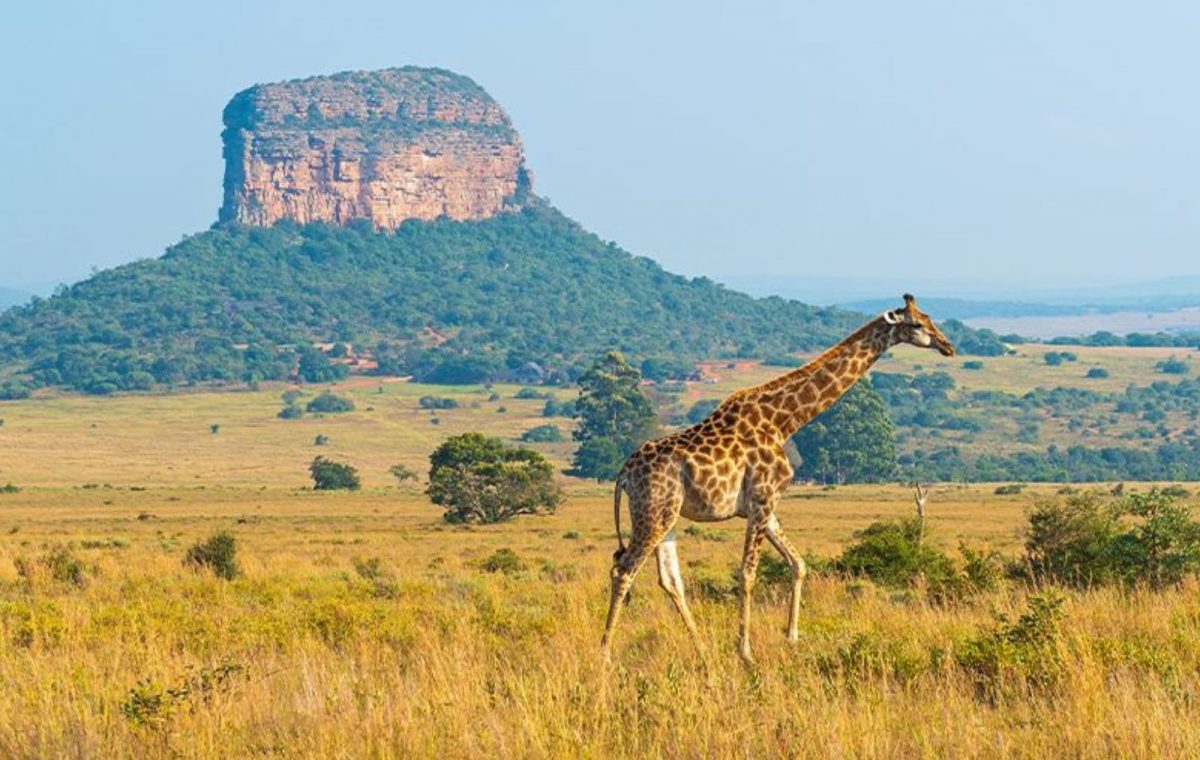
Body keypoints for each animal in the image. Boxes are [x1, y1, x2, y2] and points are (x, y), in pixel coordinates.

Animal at [600, 294, 956, 665]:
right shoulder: (762, 499)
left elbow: (798, 563)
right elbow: (747, 574)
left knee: (670, 580)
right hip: (654, 512)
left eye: (929, 317)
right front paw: (745, 652)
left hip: (667, 516)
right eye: (916, 324)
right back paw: (605, 654)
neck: (784, 421)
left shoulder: (766, 506)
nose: (948, 346)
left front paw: (792, 637)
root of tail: (624, 473)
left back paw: (702, 649)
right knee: (624, 570)